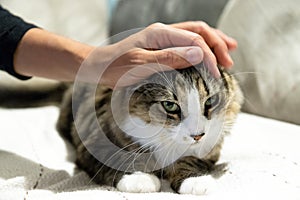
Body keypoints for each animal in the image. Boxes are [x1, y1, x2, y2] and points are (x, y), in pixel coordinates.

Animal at [54, 63, 244, 195]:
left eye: (211, 101)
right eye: (170, 105)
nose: (198, 135)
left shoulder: (209, 151)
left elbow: (190, 160)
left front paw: (196, 181)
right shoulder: (94, 144)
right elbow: (118, 157)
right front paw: (139, 178)